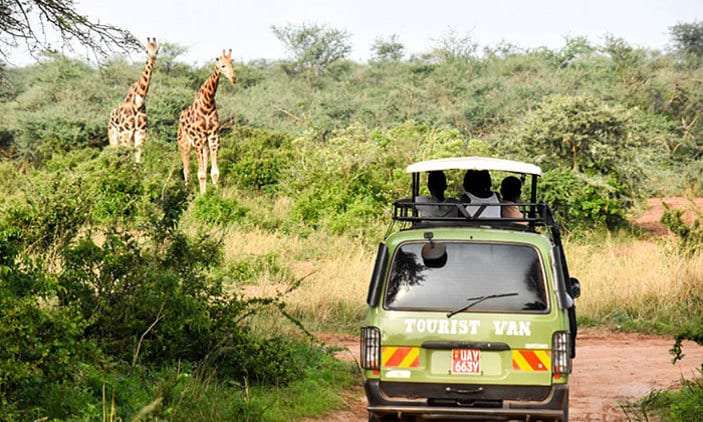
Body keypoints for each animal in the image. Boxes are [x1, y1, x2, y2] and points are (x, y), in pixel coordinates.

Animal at [179, 49, 236, 195]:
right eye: (222, 65)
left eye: (232, 63)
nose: (234, 78)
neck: (207, 103)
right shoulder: (198, 139)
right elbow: (200, 174)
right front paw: (202, 196)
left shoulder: (213, 137)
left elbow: (214, 172)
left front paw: (215, 194)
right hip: (184, 143)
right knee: (186, 169)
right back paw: (187, 191)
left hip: (204, 144)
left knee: (202, 166)